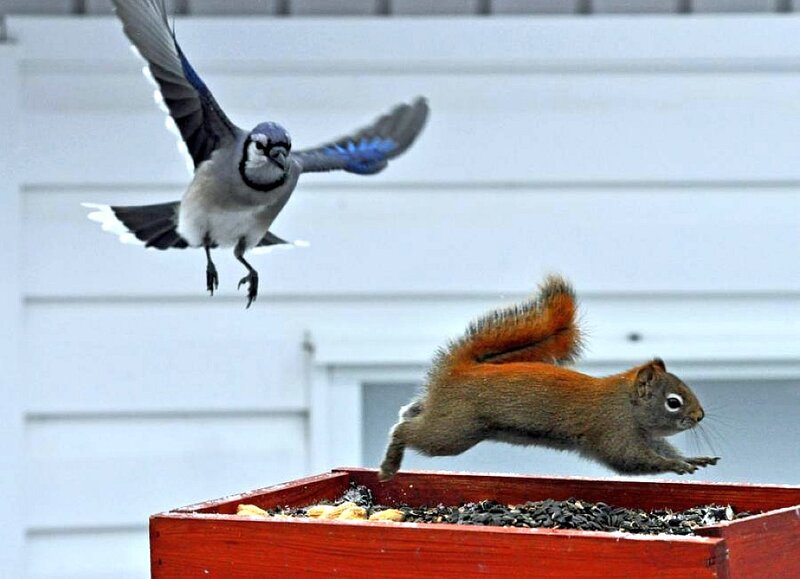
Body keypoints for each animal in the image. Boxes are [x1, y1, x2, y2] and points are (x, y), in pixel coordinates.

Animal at [379, 275, 720, 482]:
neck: (627, 405)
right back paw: (389, 466)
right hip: (454, 431)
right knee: (405, 431)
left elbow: (663, 448)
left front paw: (695, 459)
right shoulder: (613, 430)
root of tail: (459, 370)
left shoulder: (647, 436)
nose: (700, 416)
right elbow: (631, 459)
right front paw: (675, 465)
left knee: (409, 414)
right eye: (673, 402)